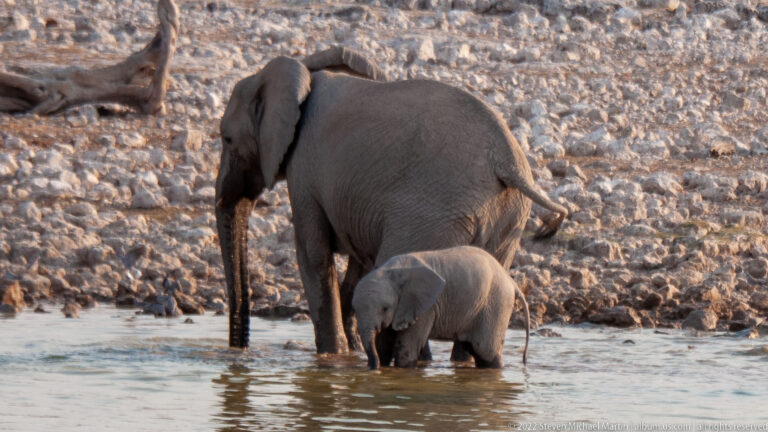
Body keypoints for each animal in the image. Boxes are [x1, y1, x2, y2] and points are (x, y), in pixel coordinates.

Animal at [215, 46, 567, 353]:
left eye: (226, 139)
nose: (238, 351)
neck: (304, 70)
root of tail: (507, 162)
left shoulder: (303, 169)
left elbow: (314, 256)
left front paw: (333, 356)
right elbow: (358, 265)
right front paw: (350, 353)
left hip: (433, 216)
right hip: (508, 219)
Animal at [352, 246, 530, 369]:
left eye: (385, 308)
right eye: (354, 309)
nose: (373, 368)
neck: (392, 271)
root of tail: (511, 281)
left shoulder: (424, 308)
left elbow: (406, 350)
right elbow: (383, 346)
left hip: (496, 305)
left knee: (486, 352)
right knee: (475, 349)